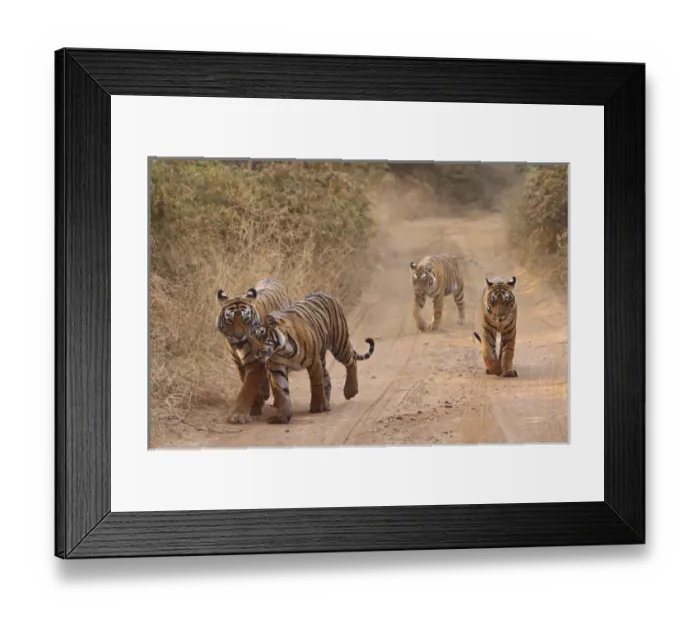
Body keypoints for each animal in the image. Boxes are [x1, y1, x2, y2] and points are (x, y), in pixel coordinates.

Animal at [215, 278, 292, 424]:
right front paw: (254, 406)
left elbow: (247, 388)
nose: (239, 336)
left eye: (246, 320)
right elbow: (247, 383)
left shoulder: (254, 362)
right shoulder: (239, 363)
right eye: (230, 321)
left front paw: (238, 415)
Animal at [247, 291, 375, 424]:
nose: (255, 353)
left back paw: (350, 391)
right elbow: (281, 391)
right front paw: (282, 416)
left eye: (261, 335)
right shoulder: (277, 368)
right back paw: (327, 402)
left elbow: (316, 383)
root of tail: (324, 292)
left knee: (351, 362)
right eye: (249, 340)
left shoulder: (314, 362)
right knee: (327, 377)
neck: (282, 349)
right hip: (323, 354)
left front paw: (318, 407)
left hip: (339, 343)